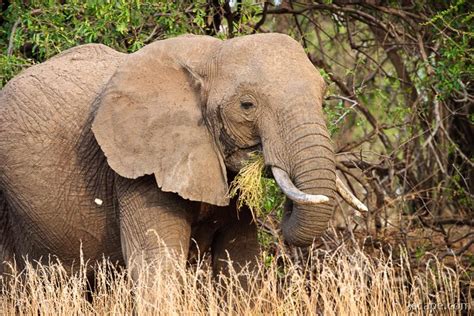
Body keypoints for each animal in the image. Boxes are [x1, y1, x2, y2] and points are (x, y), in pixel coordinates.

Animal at [0, 33, 366, 280]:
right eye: (247, 105)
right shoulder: (141, 171)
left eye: (323, 97)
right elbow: (156, 263)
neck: (212, 56)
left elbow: (239, 261)